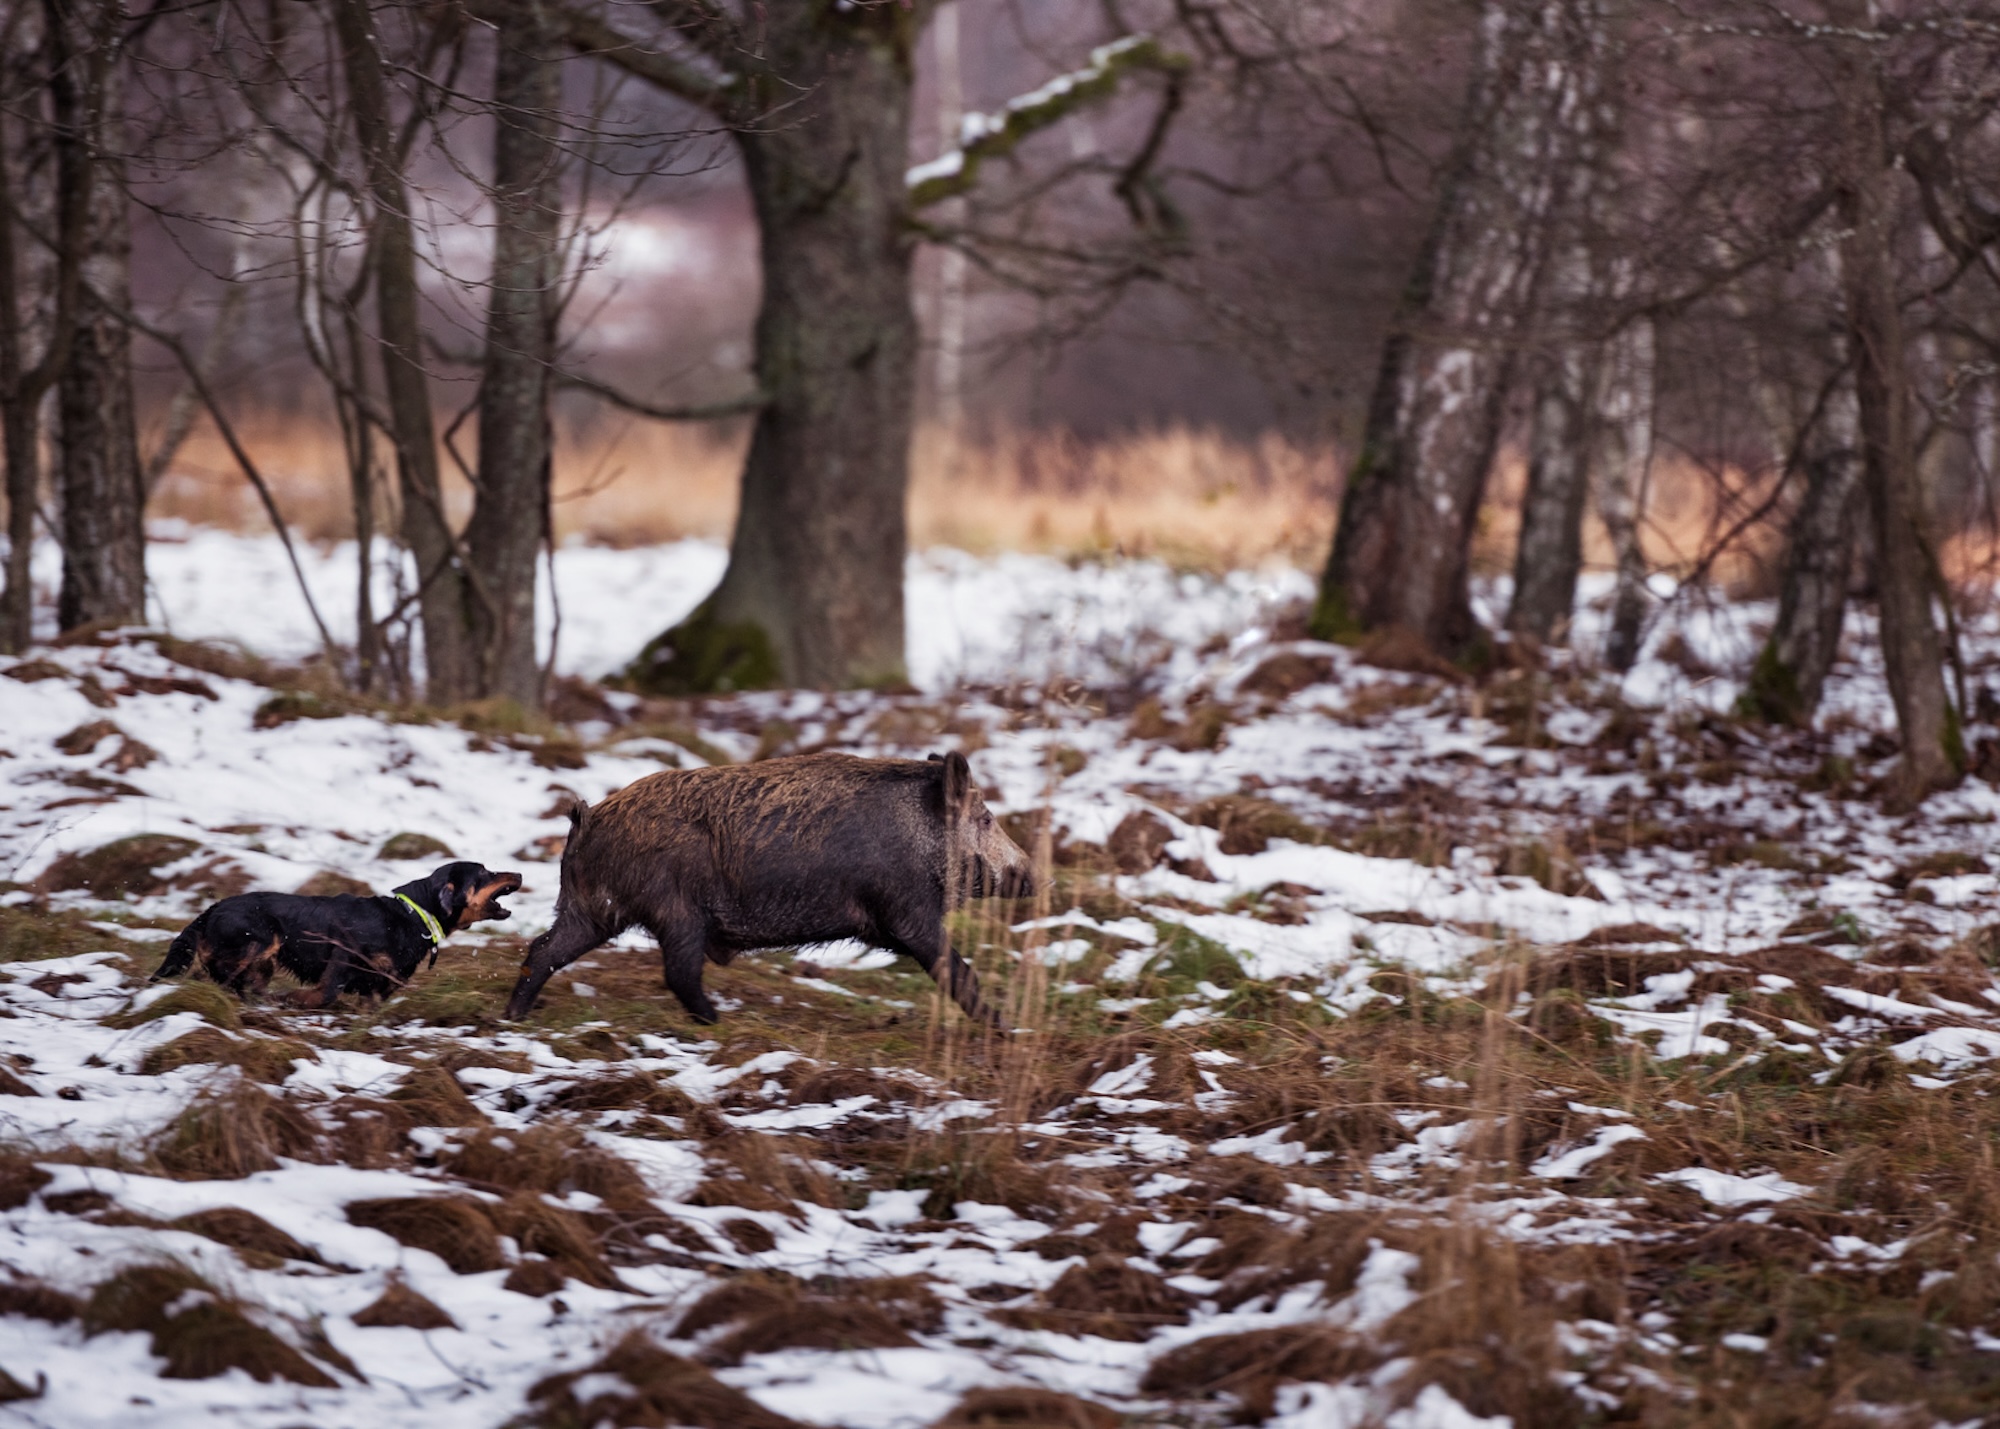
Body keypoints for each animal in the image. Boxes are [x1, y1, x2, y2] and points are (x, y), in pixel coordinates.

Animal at [156, 856, 524, 1000]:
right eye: (486, 873)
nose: (519, 874)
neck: (411, 915)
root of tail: (211, 909)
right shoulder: (343, 959)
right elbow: (324, 994)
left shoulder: (381, 986)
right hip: (260, 939)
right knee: (214, 975)